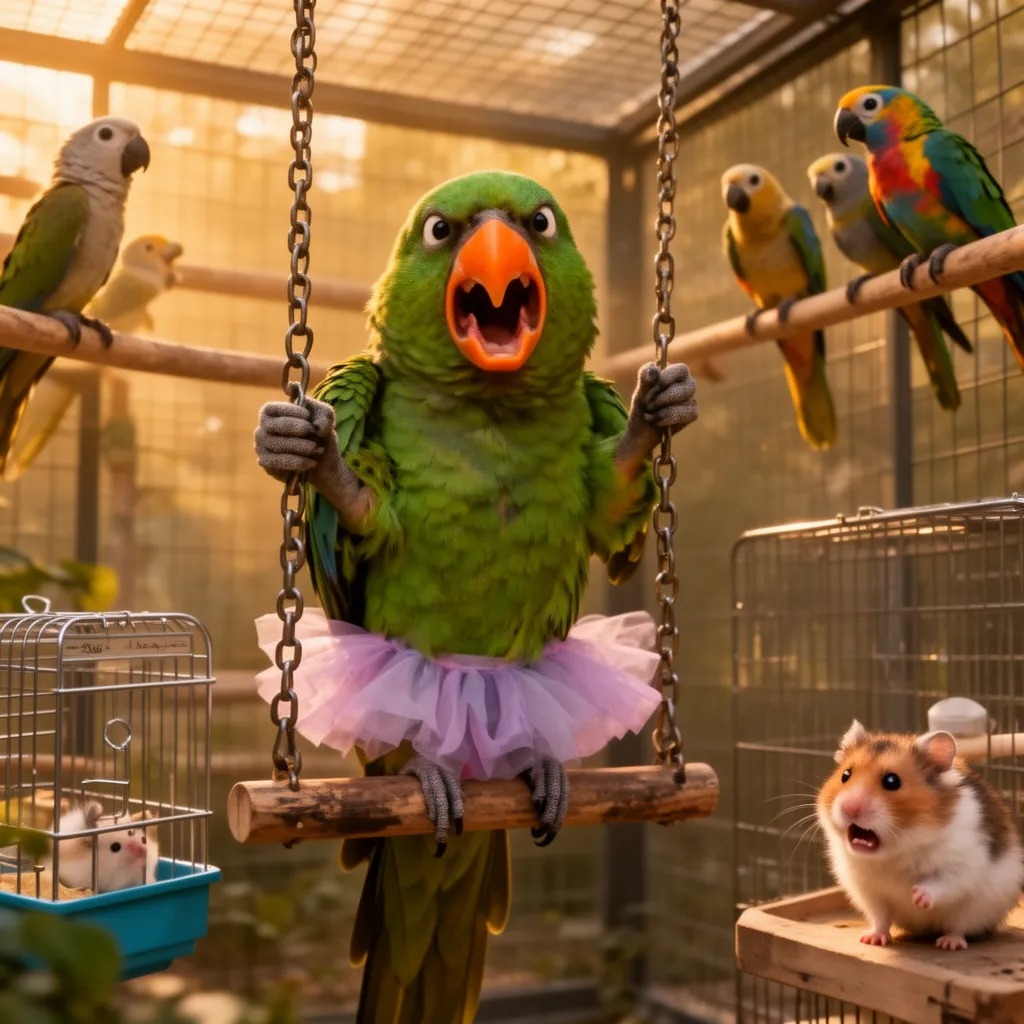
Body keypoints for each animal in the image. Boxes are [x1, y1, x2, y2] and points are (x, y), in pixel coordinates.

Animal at [816, 719, 1023, 950]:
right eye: (845, 775)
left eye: (891, 781)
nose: (849, 808)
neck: (895, 851)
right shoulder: (869, 891)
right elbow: (881, 918)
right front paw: (871, 940)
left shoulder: (962, 866)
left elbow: (943, 883)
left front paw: (916, 896)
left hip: (977, 909)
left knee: (959, 927)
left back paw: (949, 943)